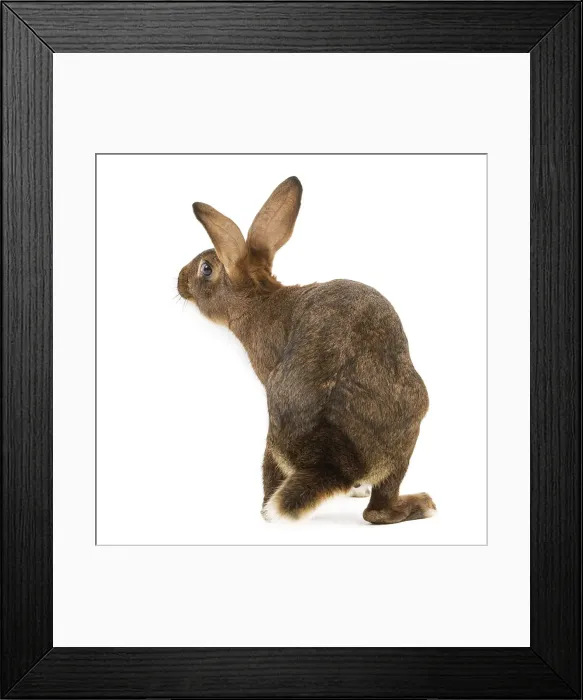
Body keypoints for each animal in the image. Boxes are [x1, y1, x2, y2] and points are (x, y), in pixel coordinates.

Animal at [177, 176, 435, 525]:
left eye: (205, 268)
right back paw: (419, 504)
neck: (256, 299)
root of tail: (330, 460)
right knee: (377, 511)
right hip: (409, 431)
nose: (179, 281)